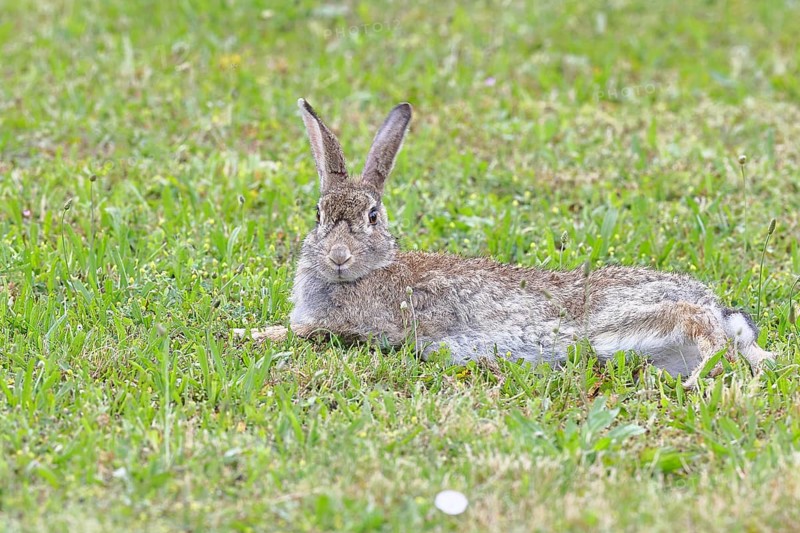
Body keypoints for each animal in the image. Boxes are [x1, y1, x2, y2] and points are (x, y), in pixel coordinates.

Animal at [235, 98, 775, 388]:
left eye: (372, 216)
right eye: (319, 215)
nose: (339, 258)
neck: (371, 272)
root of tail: (718, 305)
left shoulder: (355, 330)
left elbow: (302, 334)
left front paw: (249, 334)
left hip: (623, 323)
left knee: (708, 337)